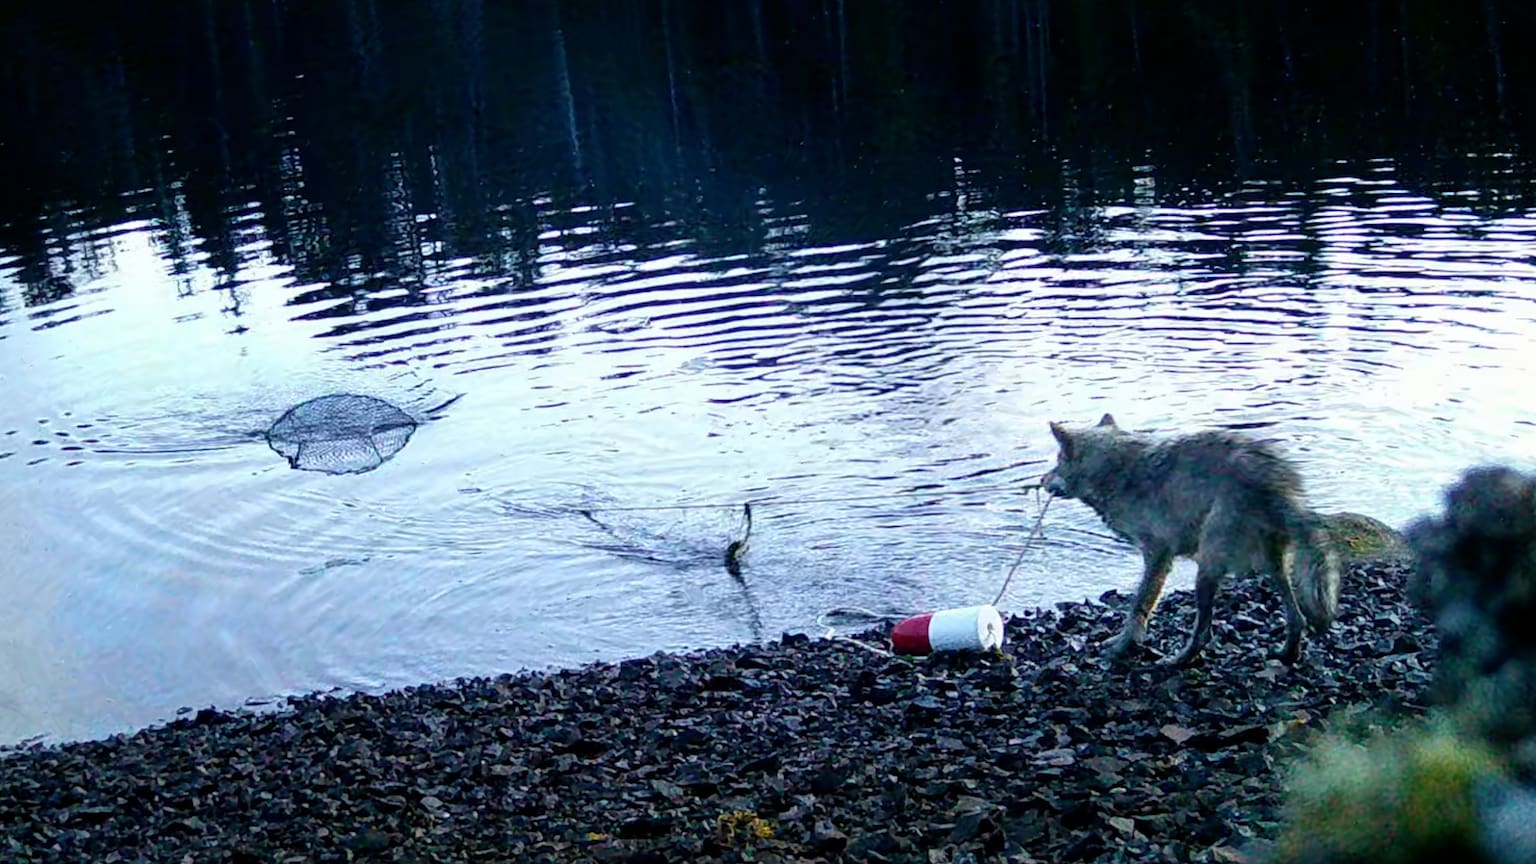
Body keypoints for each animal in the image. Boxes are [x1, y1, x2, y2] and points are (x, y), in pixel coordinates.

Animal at [1041, 414, 1341, 666]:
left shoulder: (1157, 554)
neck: (1116, 470)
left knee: (1204, 633)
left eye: (1057, 459)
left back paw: (1178, 661)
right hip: (1273, 566)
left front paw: (1123, 646)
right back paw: (1287, 654)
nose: (1042, 480)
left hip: (1207, 567)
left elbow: (1139, 605)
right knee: (1297, 618)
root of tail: (1278, 486)